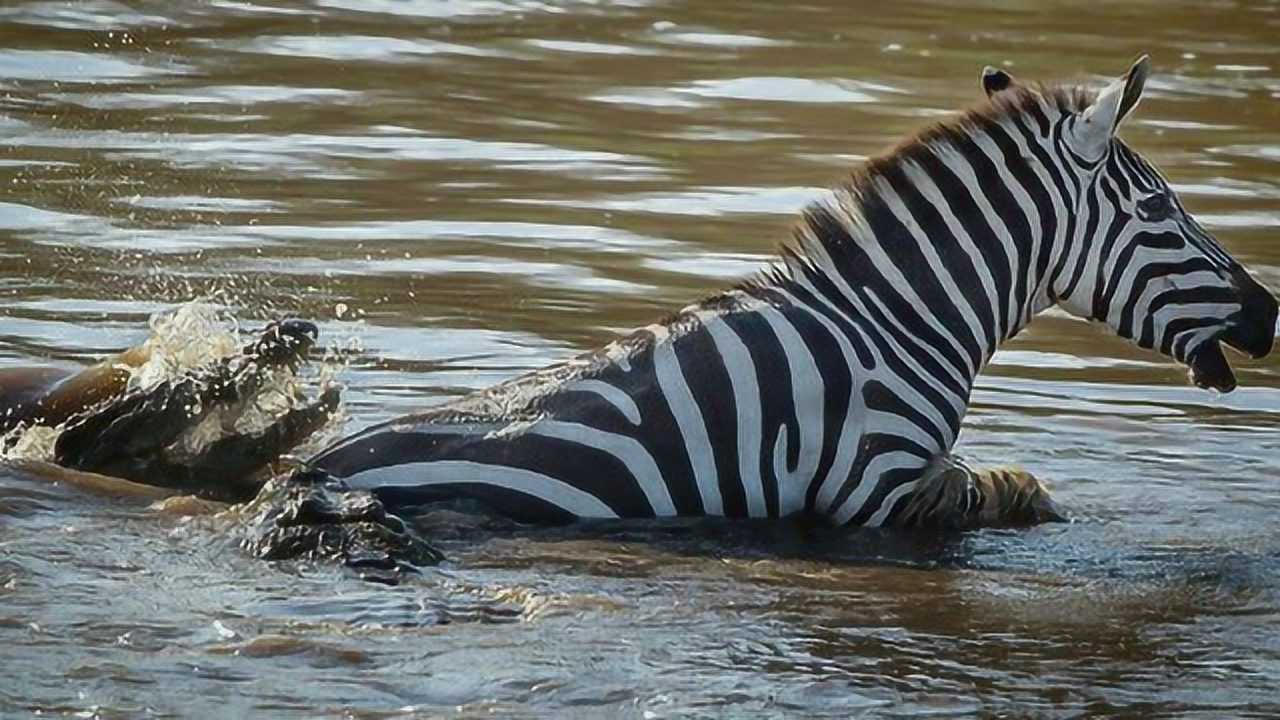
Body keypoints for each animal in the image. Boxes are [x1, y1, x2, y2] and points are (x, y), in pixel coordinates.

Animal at [304, 56, 1274, 527]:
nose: (1270, 311)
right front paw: (1032, 497)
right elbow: (993, 487)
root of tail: (307, 469)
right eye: (1159, 208)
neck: (897, 322)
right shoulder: (873, 485)